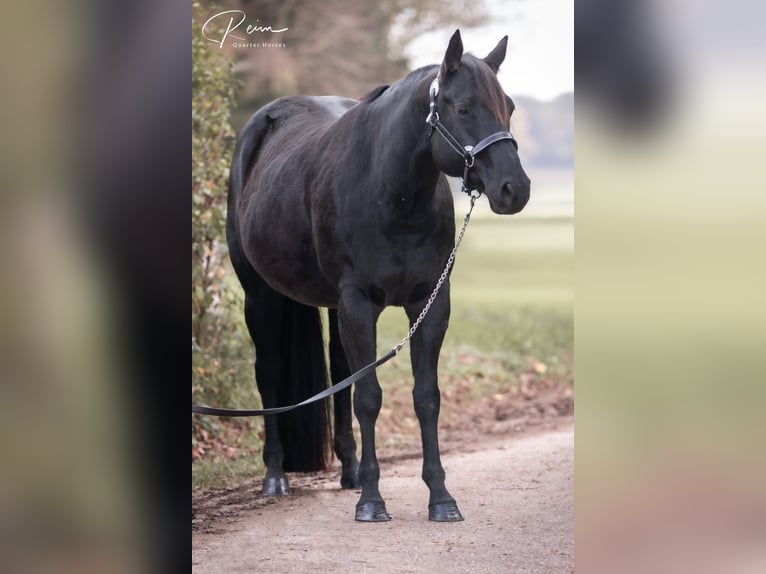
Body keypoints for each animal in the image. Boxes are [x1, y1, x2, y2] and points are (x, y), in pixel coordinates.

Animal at [225, 32, 532, 528]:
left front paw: (440, 497)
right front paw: (372, 501)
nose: (514, 189)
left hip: (331, 306)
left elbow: (425, 397)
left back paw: (349, 471)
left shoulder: (429, 303)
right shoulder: (357, 303)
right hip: (262, 296)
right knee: (269, 373)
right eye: (464, 108)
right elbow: (368, 396)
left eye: (509, 106)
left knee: (339, 374)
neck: (392, 194)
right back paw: (276, 476)